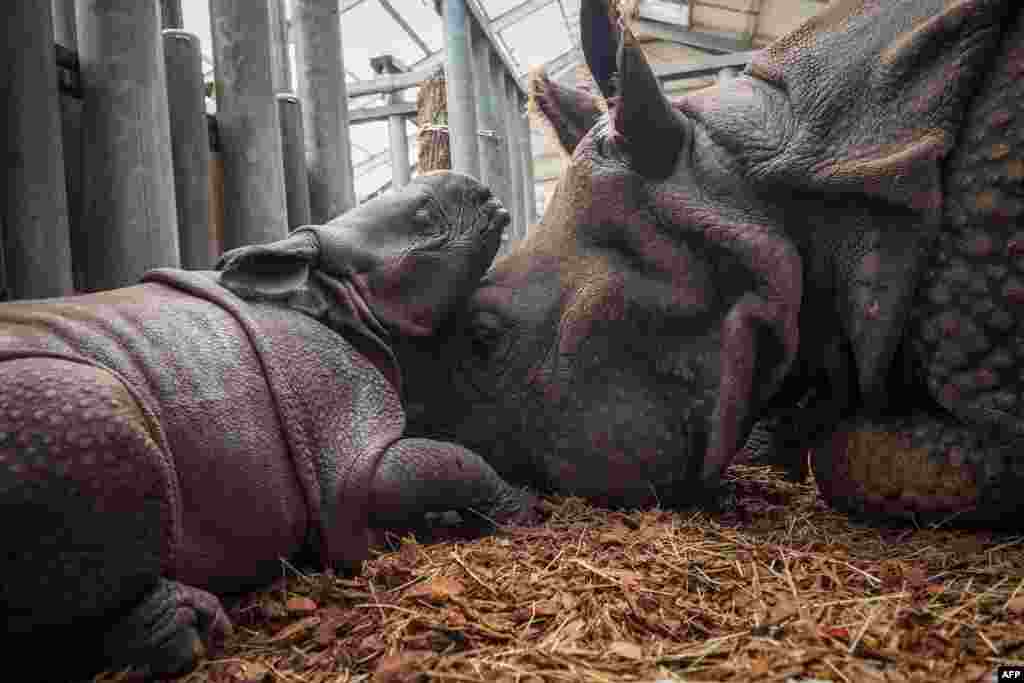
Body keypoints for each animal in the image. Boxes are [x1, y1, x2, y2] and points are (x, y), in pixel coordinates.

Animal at [0, 171, 536, 680]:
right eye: (425, 216)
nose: (485, 194)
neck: (334, 294)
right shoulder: (341, 429)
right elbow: (434, 465)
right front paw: (525, 508)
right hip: (52, 406)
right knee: (101, 411)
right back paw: (188, 629)